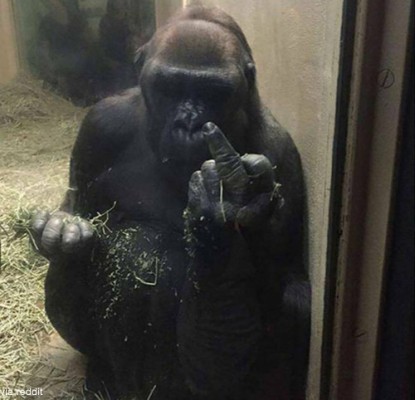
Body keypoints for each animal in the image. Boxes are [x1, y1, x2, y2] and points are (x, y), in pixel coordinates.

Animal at [30, 6, 310, 400]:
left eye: (213, 92)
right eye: (170, 87)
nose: (188, 123)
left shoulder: (278, 148)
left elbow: (279, 280)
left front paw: (220, 214)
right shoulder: (100, 124)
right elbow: (77, 206)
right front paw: (59, 232)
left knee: (293, 299)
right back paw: (101, 372)